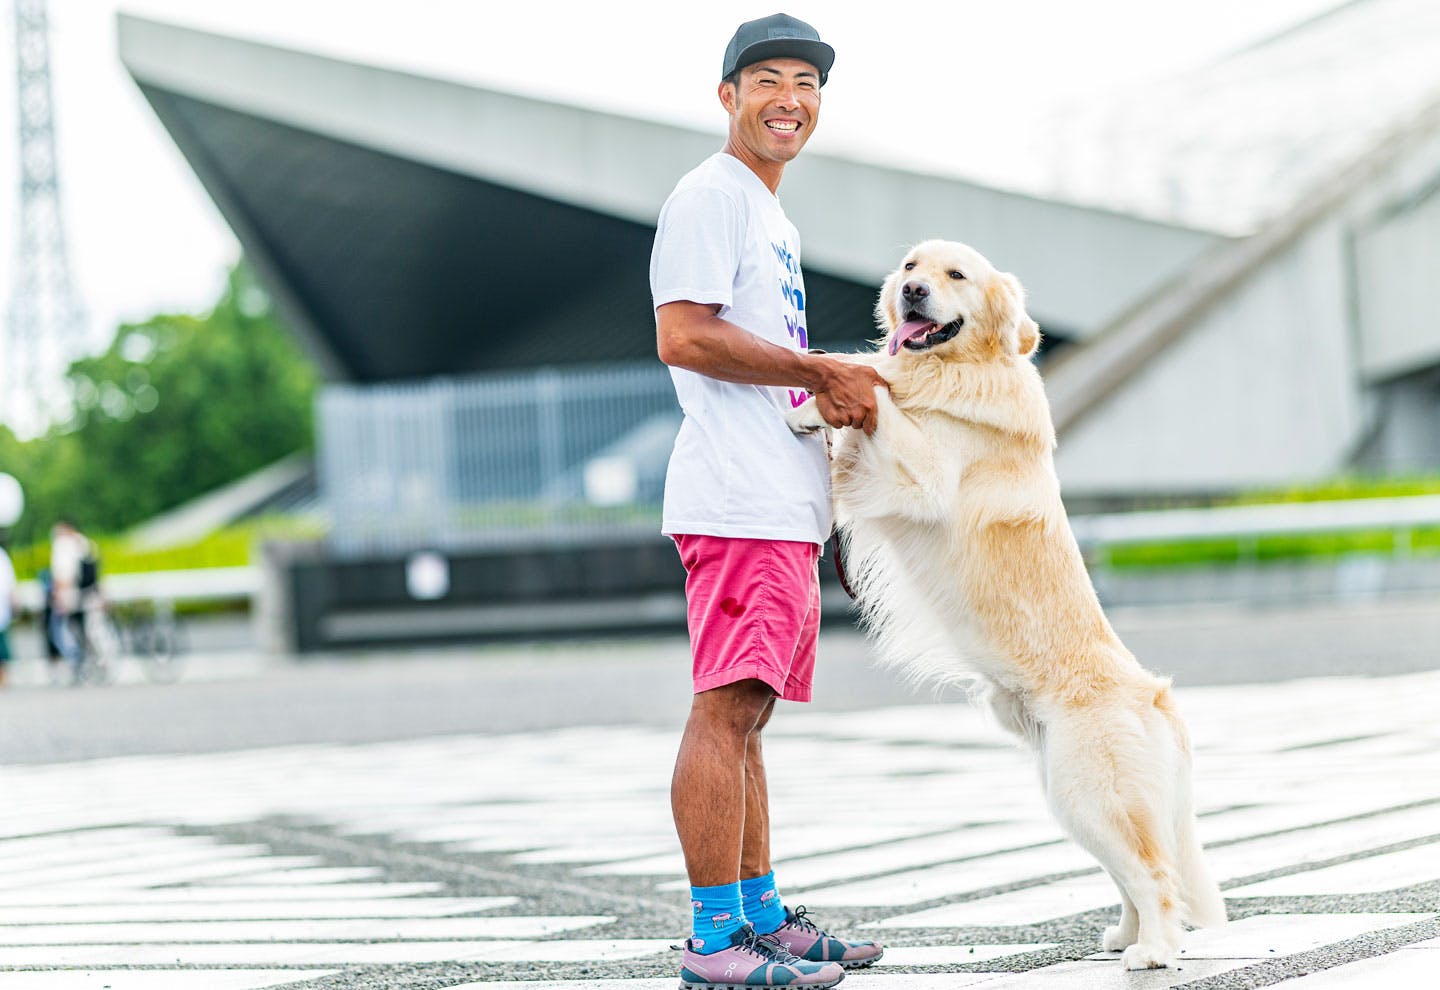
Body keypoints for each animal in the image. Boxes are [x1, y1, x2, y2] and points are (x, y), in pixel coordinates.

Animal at [789, 237, 1226, 966]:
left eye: (955, 275)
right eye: (910, 267)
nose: (912, 293)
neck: (959, 367)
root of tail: (1156, 698)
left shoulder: (921, 477)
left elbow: (878, 385)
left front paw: (821, 392)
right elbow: (873, 390)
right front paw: (816, 399)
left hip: (1089, 794)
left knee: (1156, 875)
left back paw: (1154, 953)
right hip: (1069, 797)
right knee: (1133, 876)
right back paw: (1125, 937)